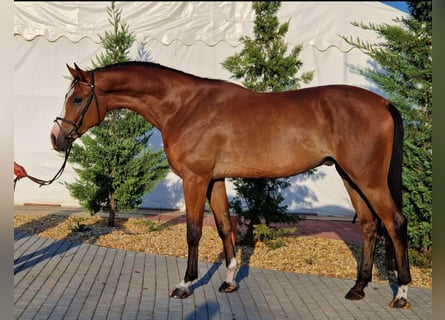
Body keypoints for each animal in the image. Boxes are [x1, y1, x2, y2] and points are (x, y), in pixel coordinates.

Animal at [50, 61, 412, 308]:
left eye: (78, 99)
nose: (56, 138)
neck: (185, 107)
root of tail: (382, 103)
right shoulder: (215, 179)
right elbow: (225, 226)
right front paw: (229, 281)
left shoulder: (195, 179)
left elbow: (194, 231)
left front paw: (185, 285)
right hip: (351, 178)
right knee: (369, 226)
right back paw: (358, 288)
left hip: (368, 179)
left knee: (395, 223)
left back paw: (402, 293)